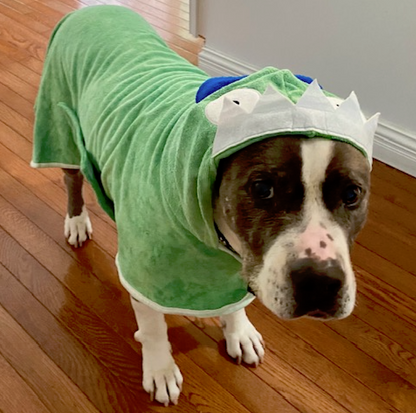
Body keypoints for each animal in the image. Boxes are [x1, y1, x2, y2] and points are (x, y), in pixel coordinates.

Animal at [30, 4, 378, 408]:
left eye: (352, 194)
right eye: (262, 188)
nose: (320, 282)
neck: (222, 244)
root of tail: (99, 8)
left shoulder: (234, 271)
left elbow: (235, 303)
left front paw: (239, 332)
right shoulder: (144, 270)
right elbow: (152, 326)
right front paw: (161, 369)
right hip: (61, 122)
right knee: (72, 178)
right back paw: (77, 221)